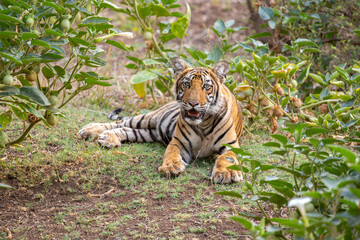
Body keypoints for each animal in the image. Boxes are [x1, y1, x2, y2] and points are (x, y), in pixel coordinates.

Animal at [77, 57, 243, 184]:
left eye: (206, 86)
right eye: (186, 84)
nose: (193, 103)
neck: (203, 123)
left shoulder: (231, 146)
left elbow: (227, 158)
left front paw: (227, 173)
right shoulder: (178, 142)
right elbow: (171, 153)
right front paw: (171, 167)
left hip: (147, 133)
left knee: (125, 129)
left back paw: (108, 138)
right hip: (148, 118)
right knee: (120, 123)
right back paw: (90, 130)